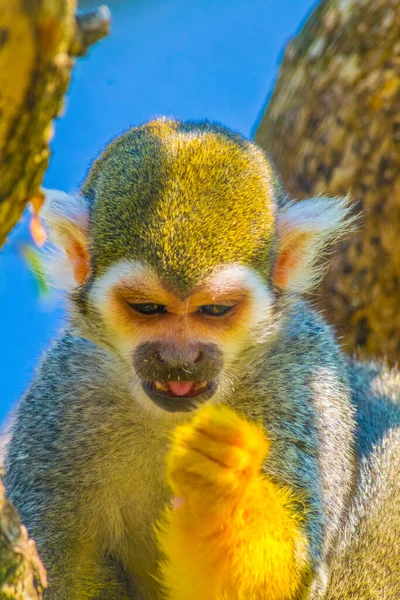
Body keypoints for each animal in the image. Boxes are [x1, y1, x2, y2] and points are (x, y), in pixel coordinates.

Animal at [3, 118, 400, 600]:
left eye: (215, 310)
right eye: (147, 308)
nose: (180, 358)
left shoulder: (304, 380)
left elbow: (294, 580)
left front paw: (223, 491)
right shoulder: (65, 391)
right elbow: (60, 563)